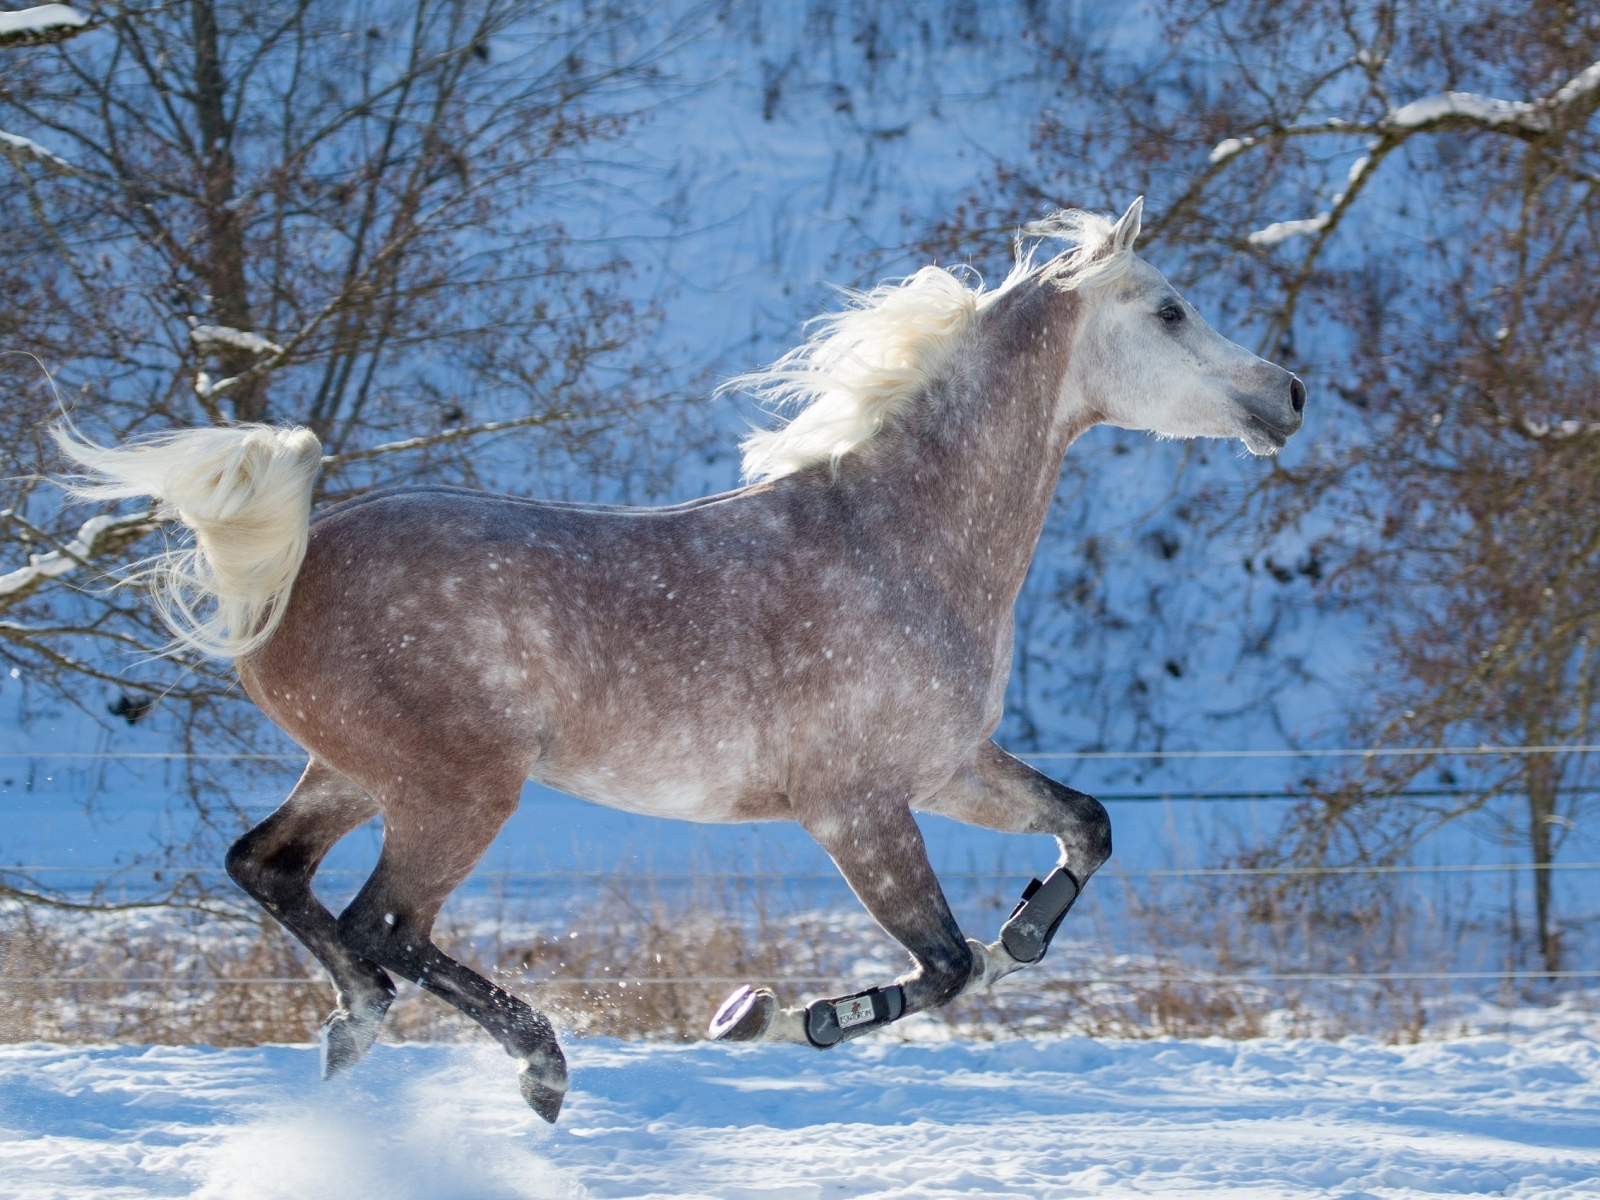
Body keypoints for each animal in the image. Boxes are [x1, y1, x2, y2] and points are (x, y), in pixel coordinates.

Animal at [59, 202, 1299, 1126]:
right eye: (1171, 308)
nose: (1287, 393)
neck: (898, 537)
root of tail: (290, 564)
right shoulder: (855, 807)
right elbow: (945, 964)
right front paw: (789, 1017)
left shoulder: (948, 769)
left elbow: (1083, 829)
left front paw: (1025, 931)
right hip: (456, 789)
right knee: (383, 927)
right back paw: (537, 1067)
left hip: (356, 775)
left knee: (272, 871)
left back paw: (357, 1037)